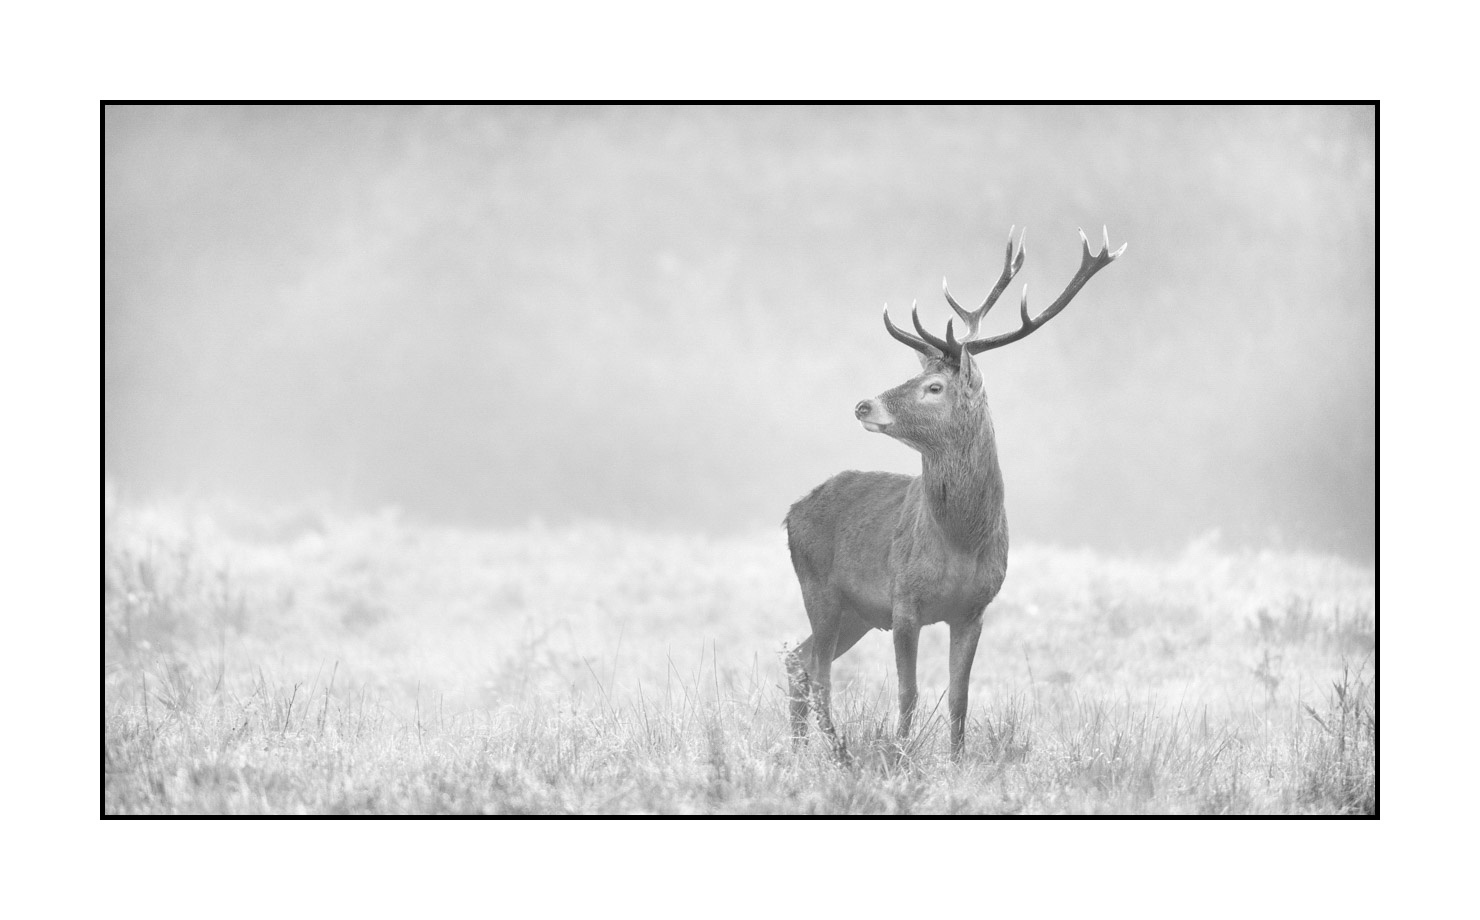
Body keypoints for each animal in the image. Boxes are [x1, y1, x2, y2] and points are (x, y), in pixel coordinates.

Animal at [783, 226, 1126, 761]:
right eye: (916, 376)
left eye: (934, 387)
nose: (863, 405)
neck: (961, 541)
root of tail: (790, 513)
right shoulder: (903, 599)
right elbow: (908, 691)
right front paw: (900, 756)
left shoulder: (974, 608)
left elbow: (960, 696)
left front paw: (958, 761)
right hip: (818, 587)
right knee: (816, 671)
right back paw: (838, 752)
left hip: (855, 611)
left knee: (799, 662)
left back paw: (800, 752)